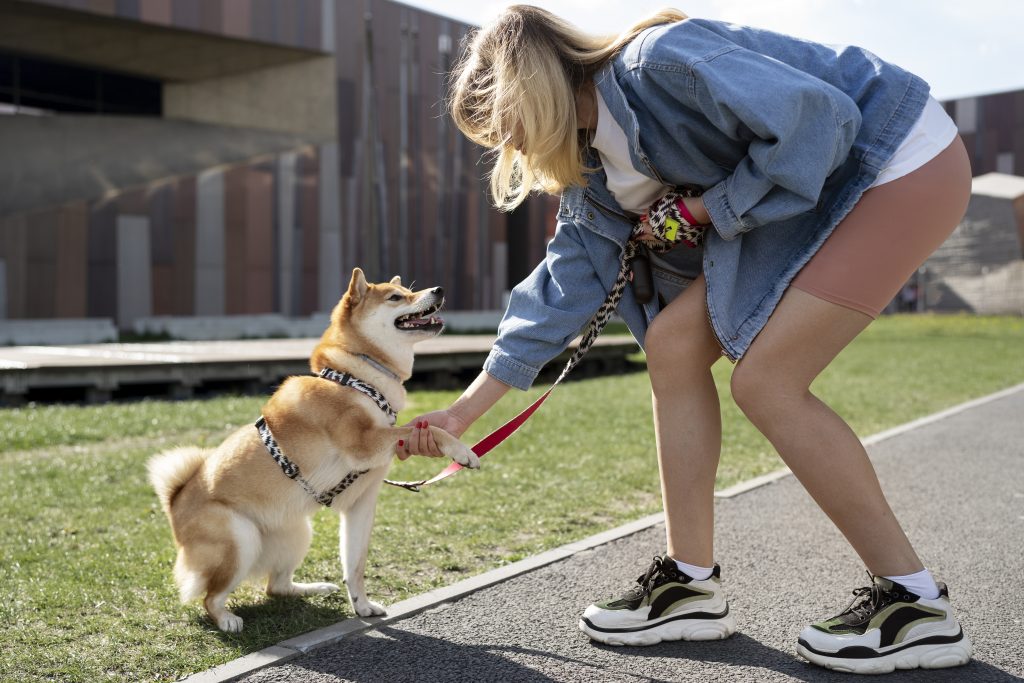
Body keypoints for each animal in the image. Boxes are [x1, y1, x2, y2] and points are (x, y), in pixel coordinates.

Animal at [148, 270, 479, 634]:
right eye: (396, 297)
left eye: (407, 290)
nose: (439, 289)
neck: (357, 378)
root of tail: (175, 502)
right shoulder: (363, 444)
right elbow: (426, 429)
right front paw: (462, 450)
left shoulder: (361, 504)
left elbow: (355, 565)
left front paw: (362, 606)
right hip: (241, 539)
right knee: (210, 597)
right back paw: (227, 620)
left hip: (298, 533)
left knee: (275, 586)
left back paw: (314, 588)